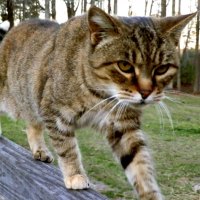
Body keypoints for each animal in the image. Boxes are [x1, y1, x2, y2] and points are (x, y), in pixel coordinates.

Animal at [0, 5, 195, 199]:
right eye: (125, 66)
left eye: (162, 69)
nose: (146, 92)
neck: (101, 95)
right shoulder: (54, 112)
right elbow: (67, 148)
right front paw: (75, 174)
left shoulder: (123, 125)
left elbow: (140, 163)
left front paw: (150, 193)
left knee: (32, 125)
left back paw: (39, 150)